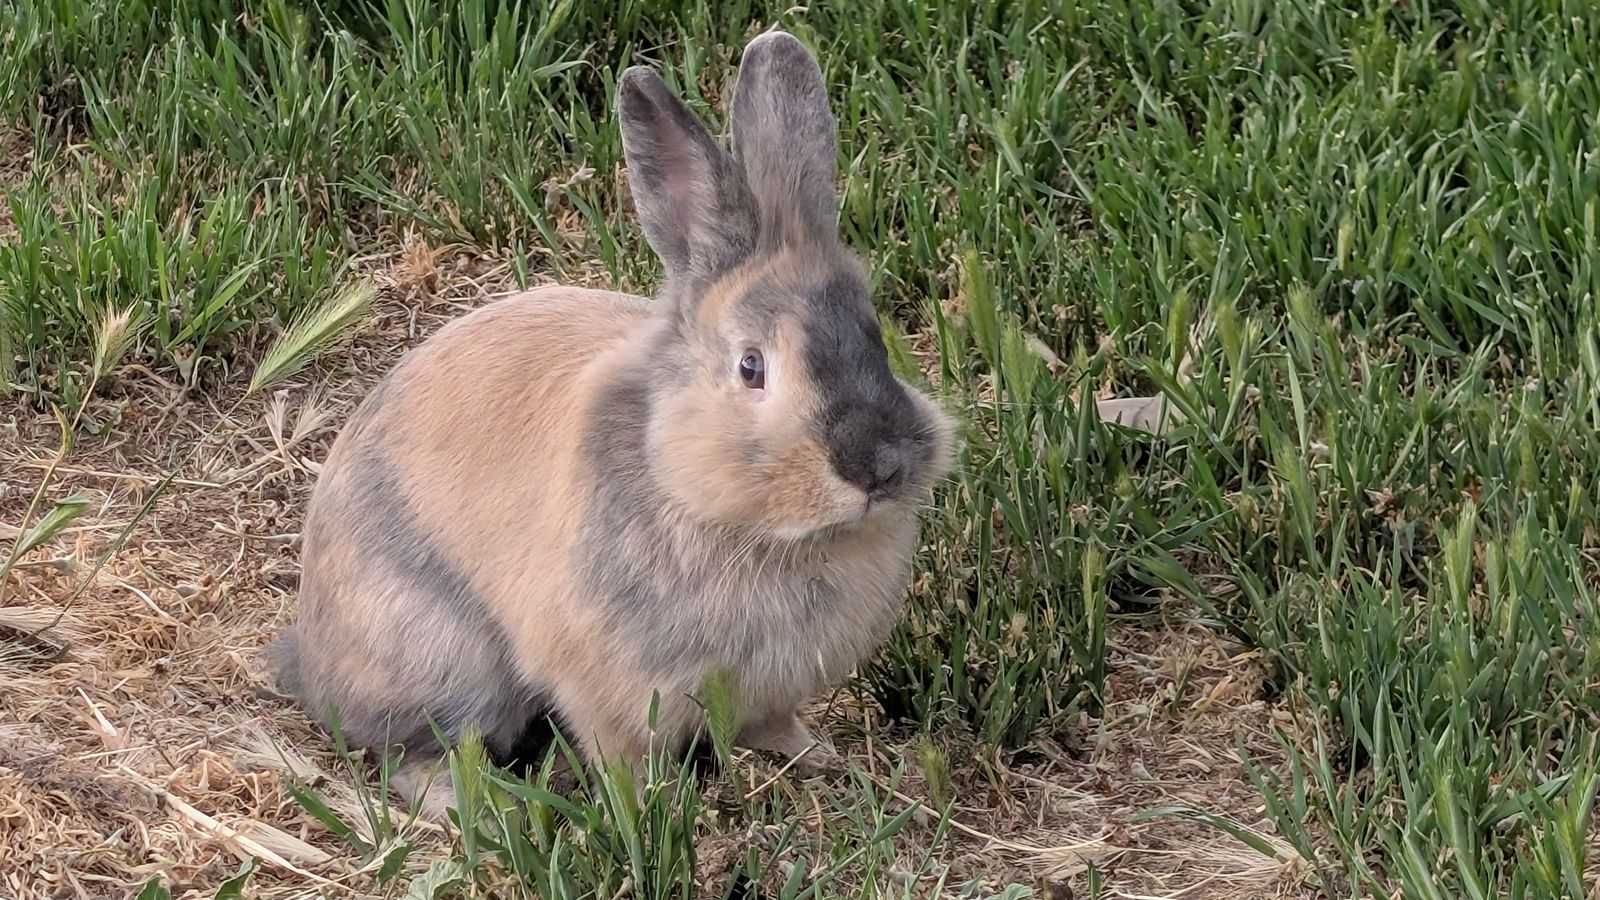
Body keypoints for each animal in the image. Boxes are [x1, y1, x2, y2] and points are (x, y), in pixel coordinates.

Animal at [267, 29, 956, 817]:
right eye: (752, 366)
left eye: (876, 338)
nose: (880, 468)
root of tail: (309, 661)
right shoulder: (607, 689)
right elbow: (620, 757)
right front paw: (646, 809)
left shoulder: (767, 692)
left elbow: (774, 724)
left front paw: (814, 757)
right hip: (442, 661)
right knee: (410, 750)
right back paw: (472, 802)